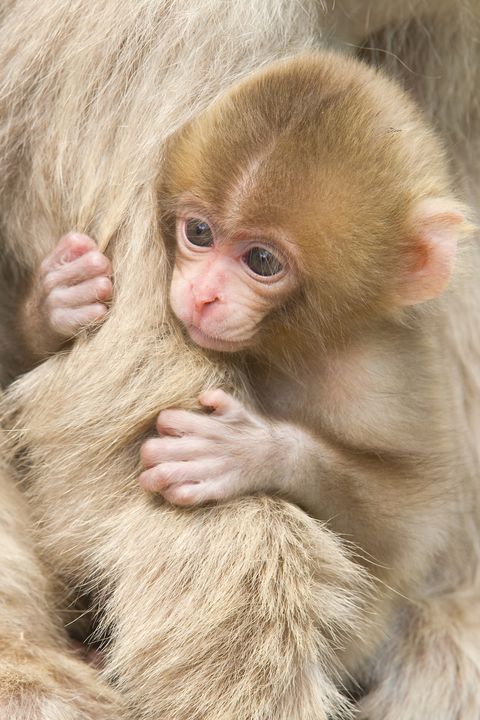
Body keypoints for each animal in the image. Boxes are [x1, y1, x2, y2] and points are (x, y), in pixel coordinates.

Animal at [0, 4, 478, 720]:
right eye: (199, 233)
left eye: (261, 261)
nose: (203, 294)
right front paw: (57, 303)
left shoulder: (377, 381)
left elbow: (406, 517)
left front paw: (249, 452)